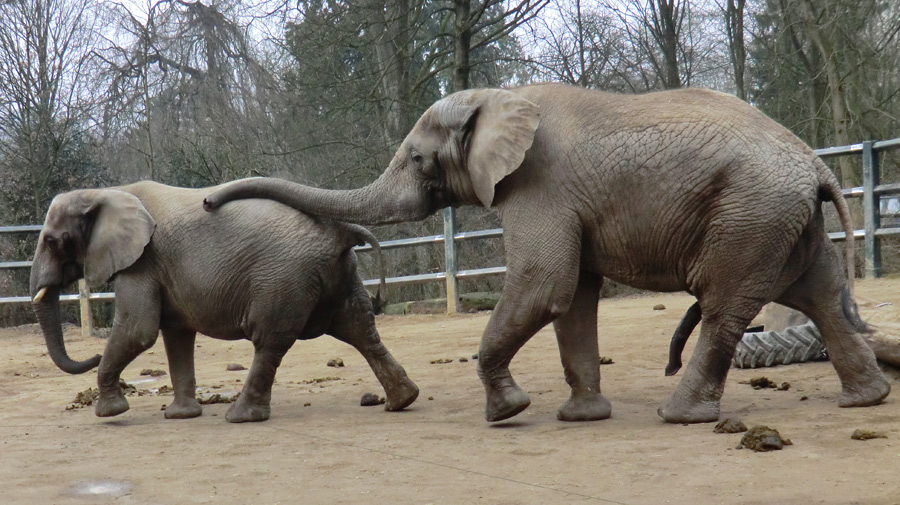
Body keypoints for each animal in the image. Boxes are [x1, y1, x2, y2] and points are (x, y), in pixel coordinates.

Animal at [30, 181, 418, 422]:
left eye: (51, 241)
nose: (92, 354)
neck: (104, 192)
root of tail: (341, 230)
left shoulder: (142, 261)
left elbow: (139, 331)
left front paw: (110, 413)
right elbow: (176, 335)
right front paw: (181, 416)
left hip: (283, 277)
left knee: (270, 341)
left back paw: (241, 417)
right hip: (337, 275)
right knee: (360, 329)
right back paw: (402, 400)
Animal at [202, 82, 884, 422]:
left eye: (418, 159)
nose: (208, 203)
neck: (496, 96)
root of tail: (820, 169)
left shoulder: (540, 183)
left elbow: (542, 283)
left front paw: (507, 412)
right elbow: (572, 298)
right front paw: (581, 417)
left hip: (749, 212)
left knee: (725, 306)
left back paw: (678, 415)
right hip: (780, 217)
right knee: (820, 296)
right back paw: (866, 400)